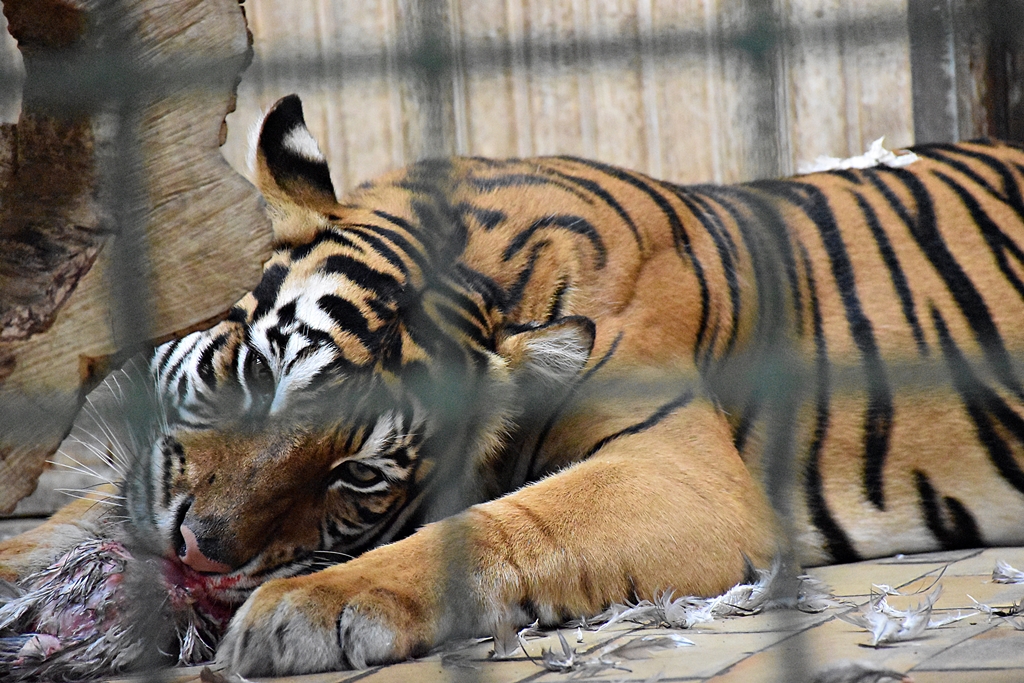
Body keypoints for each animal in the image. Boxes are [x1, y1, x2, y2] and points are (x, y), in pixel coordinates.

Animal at [4, 93, 1024, 677]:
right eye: (255, 375)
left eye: (356, 475)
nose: (202, 555)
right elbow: (72, 516)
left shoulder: (684, 471)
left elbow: (500, 526)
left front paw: (309, 608)